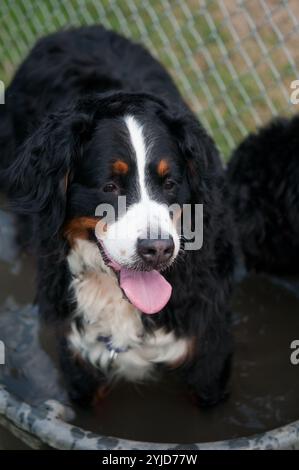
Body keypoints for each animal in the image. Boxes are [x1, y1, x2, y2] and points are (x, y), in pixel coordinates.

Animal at [0, 25, 237, 408]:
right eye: (109, 186)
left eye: (170, 183)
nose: (158, 249)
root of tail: (73, 29)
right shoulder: (78, 357)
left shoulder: (207, 354)